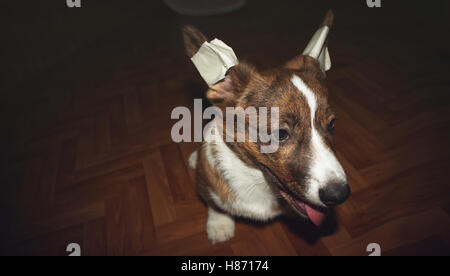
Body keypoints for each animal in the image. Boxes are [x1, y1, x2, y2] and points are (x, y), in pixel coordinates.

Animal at [181, 10, 350, 244]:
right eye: (280, 133)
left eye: (332, 124)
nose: (339, 195)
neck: (258, 180)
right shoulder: (206, 185)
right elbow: (216, 205)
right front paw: (220, 225)